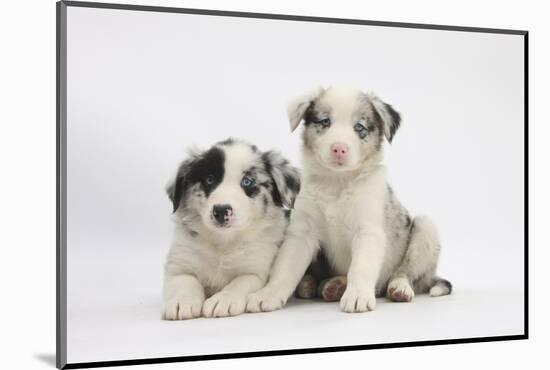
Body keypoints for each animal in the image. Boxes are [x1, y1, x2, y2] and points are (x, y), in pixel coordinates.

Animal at [163, 137, 302, 320]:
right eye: (209, 180)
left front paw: (223, 300)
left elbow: (239, 282)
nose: (221, 211)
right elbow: (185, 280)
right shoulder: (178, 265)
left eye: (247, 181)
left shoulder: (256, 270)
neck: (223, 241)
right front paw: (182, 302)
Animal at [248, 87, 454, 316]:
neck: (337, 183)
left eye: (359, 127)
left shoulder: (367, 231)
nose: (339, 148)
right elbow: (284, 269)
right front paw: (267, 295)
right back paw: (327, 285)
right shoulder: (301, 233)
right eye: (325, 121)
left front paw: (357, 296)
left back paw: (398, 288)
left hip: (425, 229)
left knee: (406, 273)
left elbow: (360, 267)